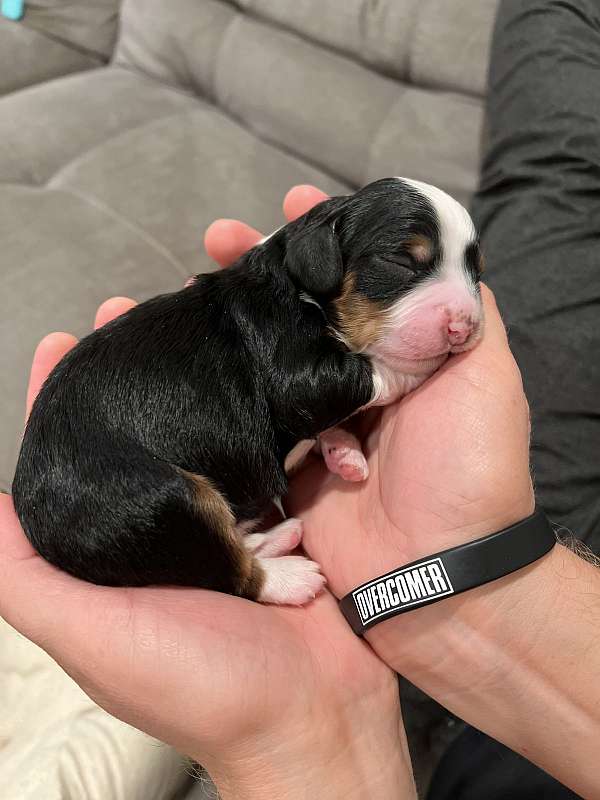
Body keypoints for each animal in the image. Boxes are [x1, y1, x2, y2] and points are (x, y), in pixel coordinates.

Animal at [11, 180, 486, 608]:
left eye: (477, 272)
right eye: (401, 262)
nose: (464, 327)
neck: (301, 287)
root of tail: (42, 530)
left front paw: (343, 451)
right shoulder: (291, 367)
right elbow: (362, 376)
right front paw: (415, 368)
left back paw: (279, 535)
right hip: (165, 500)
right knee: (228, 572)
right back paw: (290, 576)